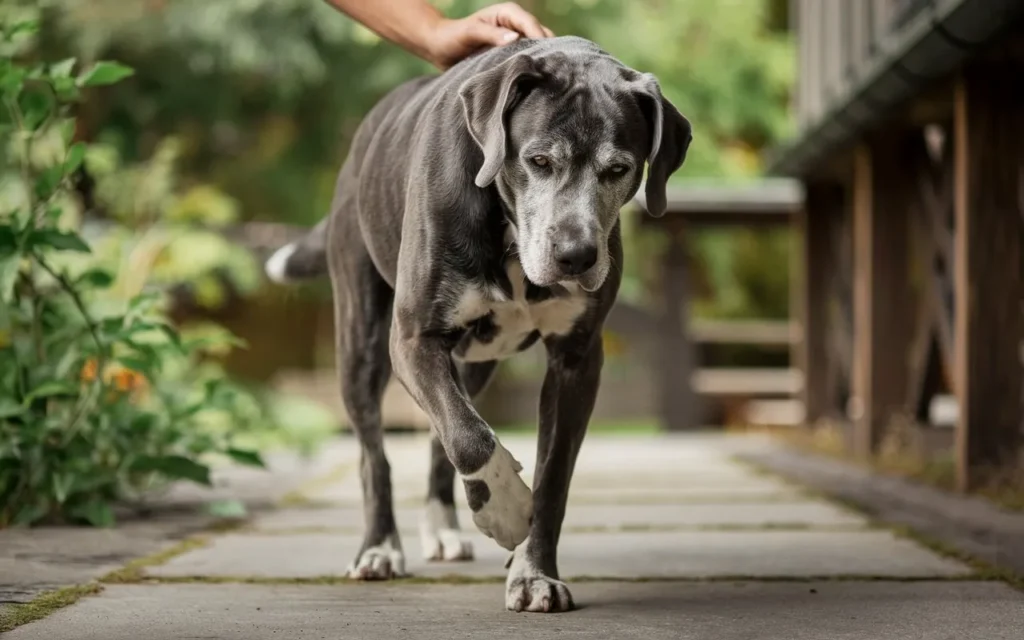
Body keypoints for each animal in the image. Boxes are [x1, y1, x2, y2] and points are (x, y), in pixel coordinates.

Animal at [268, 36, 692, 614]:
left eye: (619, 169)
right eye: (538, 160)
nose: (576, 256)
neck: (508, 231)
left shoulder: (577, 360)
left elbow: (551, 473)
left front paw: (535, 572)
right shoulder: (413, 339)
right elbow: (469, 436)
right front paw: (507, 510)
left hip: (478, 360)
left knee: (439, 435)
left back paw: (443, 529)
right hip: (361, 341)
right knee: (376, 456)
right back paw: (379, 549)